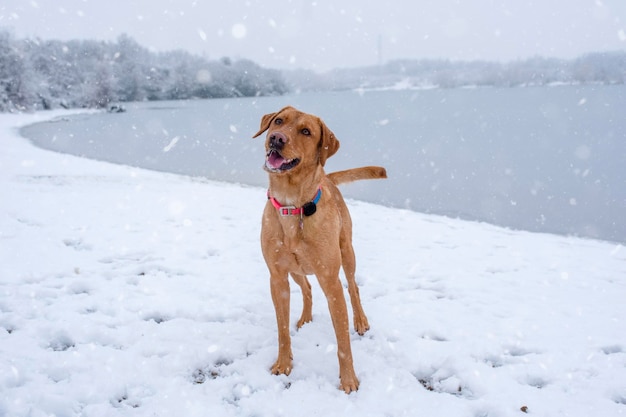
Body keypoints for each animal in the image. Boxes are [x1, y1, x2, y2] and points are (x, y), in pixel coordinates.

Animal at [251, 105, 382, 392]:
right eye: (279, 121)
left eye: (306, 132)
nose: (276, 138)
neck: (293, 205)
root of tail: (327, 177)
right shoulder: (277, 277)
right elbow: (282, 329)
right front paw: (283, 364)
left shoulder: (331, 281)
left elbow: (342, 340)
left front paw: (349, 381)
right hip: (295, 269)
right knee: (308, 288)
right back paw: (305, 317)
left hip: (347, 252)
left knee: (353, 287)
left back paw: (360, 320)